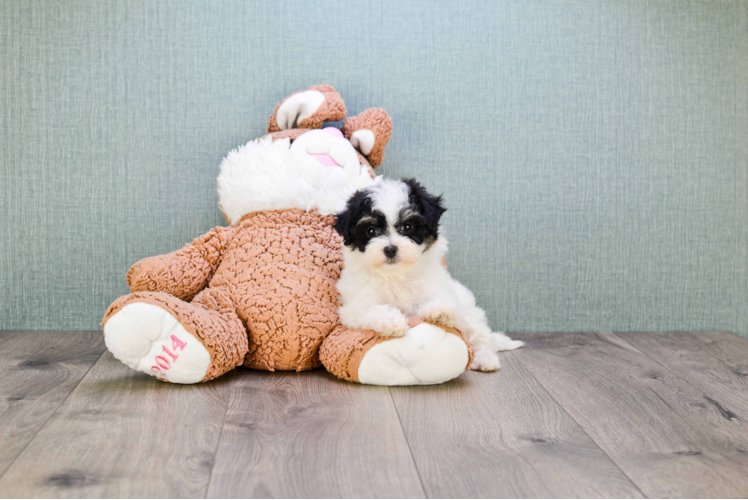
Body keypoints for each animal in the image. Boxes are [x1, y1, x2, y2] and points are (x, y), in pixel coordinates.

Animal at [336, 179, 524, 372]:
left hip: (471, 313)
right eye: (371, 231)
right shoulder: (354, 305)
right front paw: (390, 320)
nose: (390, 249)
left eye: (407, 227)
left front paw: (439, 311)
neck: (396, 275)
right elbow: (370, 309)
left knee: (481, 336)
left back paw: (485, 358)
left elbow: (442, 301)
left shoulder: (438, 288)